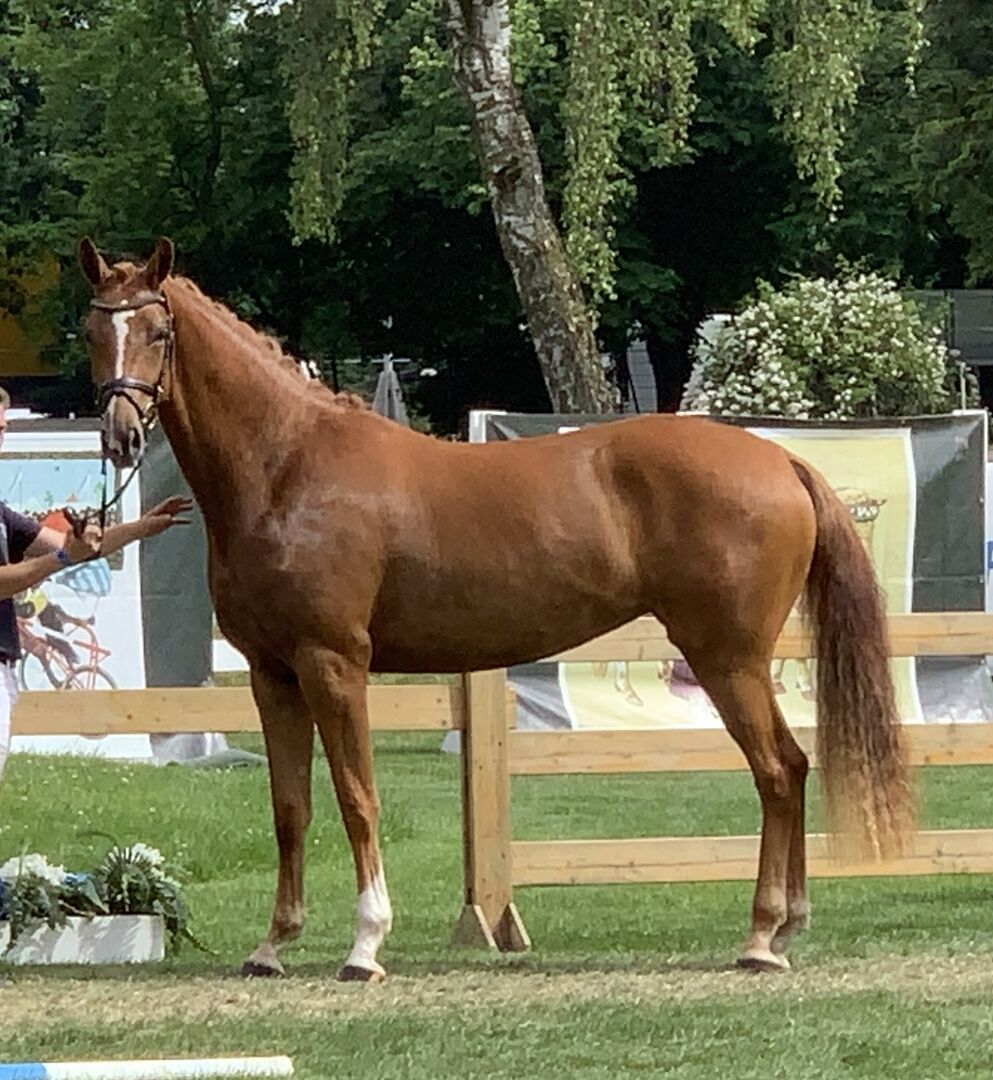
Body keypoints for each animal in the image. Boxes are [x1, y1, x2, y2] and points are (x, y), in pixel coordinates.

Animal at [78, 236, 914, 978]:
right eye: (93, 328)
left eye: (158, 332)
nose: (120, 435)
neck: (287, 469)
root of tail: (780, 458)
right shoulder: (269, 673)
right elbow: (292, 809)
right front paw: (272, 946)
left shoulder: (333, 664)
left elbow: (356, 798)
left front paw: (365, 947)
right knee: (793, 766)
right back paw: (785, 926)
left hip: (726, 657)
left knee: (775, 770)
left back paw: (760, 937)